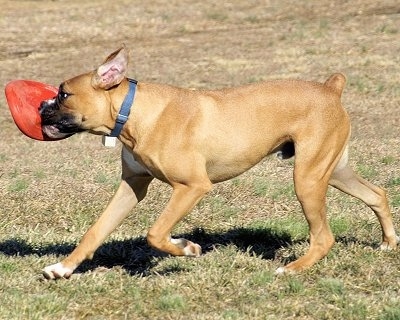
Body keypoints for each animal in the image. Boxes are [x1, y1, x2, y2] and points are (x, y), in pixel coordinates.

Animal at [39, 46, 398, 278]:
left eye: (63, 94)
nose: (42, 107)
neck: (135, 111)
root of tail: (330, 89)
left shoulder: (192, 187)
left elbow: (156, 233)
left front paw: (186, 248)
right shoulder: (132, 187)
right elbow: (96, 231)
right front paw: (63, 268)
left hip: (307, 179)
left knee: (324, 237)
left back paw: (292, 269)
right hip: (332, 170)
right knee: (376, 194)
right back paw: (388, 243)